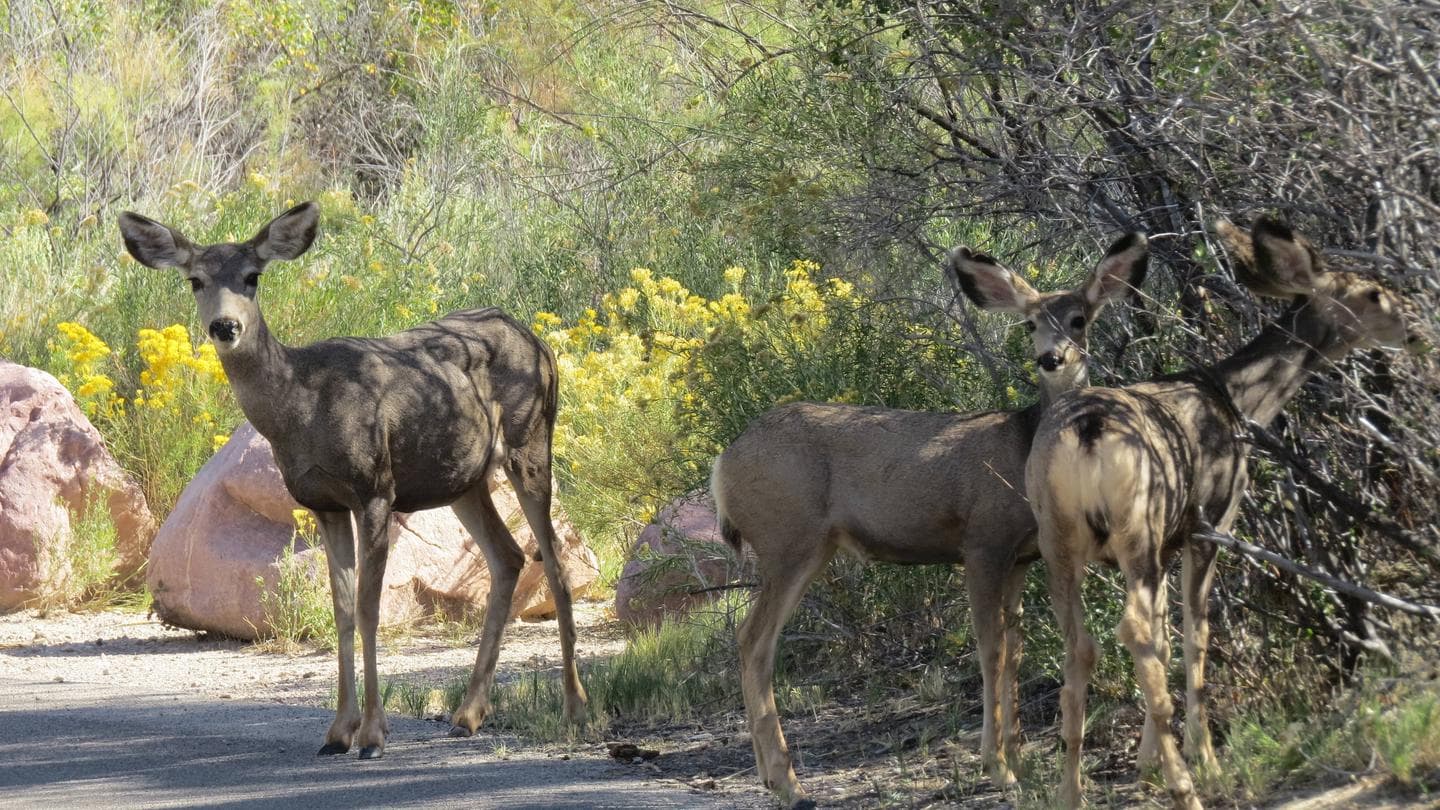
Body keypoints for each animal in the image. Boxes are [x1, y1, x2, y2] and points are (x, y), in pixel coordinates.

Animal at [117, 202, 587, 759]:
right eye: (195, 280)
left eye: (253, 276)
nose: (225, 326)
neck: (302, 406)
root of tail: (539, 341)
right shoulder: (324, 503)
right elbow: (341, 608)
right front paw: (338, 732)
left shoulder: (375, 490)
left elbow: (368, 608)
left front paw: (373, 735)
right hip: (463, 480)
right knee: (510, 557)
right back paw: (468, 715)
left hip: (530, 443)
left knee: (554, 562)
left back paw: (575, 707)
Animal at [709, 232, 1150, 808]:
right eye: (1030, 323)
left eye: (1079, 318)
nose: (1051, 358)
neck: (1023, 449)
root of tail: (723, 463)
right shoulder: (982, 541)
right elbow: (990, 650)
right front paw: (998, 768)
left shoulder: (1022, 557)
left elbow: (1015, 652)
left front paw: (1019, 759)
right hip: (788, 538)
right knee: (753, 638)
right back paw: (788, 782)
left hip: (808, 545)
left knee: (753, 639)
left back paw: (773, 776)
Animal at [1025, 216, 1425, 810]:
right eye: (1373, 293)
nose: (1416, 329)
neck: (1237, 399)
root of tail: (1087, 431)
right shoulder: (1210, 523)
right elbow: (1197, 634)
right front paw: (1204, 760)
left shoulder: (1168, 543)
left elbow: (1167, 638)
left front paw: (1146, 761)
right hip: (1136, 527)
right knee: (1131, 627)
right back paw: (1187, 787)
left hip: (1058, 539)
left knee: (1081, 645)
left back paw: (1071, 793)